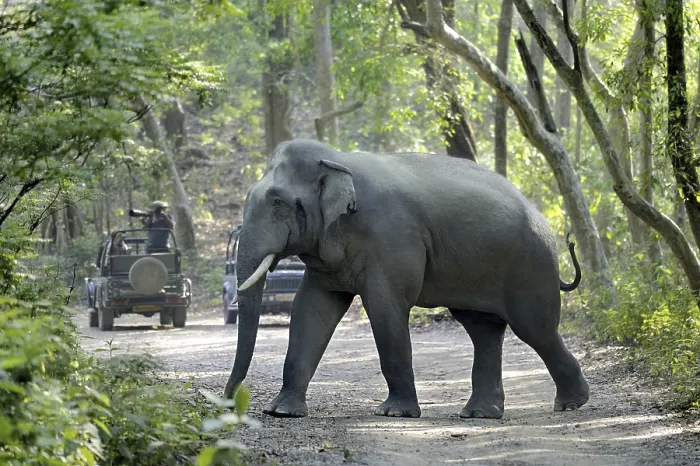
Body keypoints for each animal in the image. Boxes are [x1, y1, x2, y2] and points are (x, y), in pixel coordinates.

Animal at [223, 139, 588, 420]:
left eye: (278, 203)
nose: (228, 404)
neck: (338, 159)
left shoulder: (392, 238)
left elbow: (386, 308)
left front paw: (395, 413)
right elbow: (310, 310)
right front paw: (281, 412)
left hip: (530, 265)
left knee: (535, 330)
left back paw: (572, 404)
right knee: (482, 330)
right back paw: (480, 414)